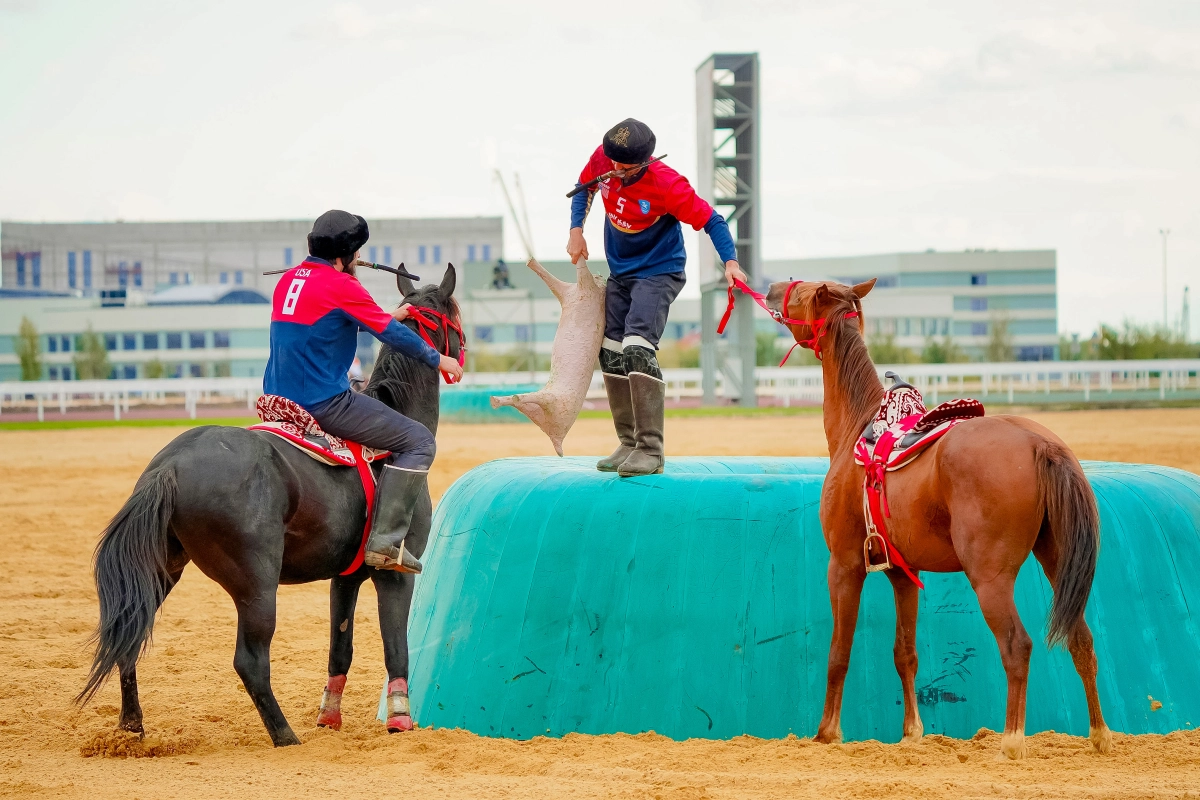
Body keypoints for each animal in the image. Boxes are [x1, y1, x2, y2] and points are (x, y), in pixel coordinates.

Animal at [76, 266, 458, 748]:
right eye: (455, 315)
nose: (458, 361)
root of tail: (171, 466)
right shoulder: (393, 575)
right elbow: (396, 648)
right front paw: (400, 719)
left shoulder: (345, 577)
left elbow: (341, 648)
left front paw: (329, 718)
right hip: (256, 586)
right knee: (250, 660)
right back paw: (284, 735)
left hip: (162, 570)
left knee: (131, 633)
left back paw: (131, 728)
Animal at [768, 278, 1113, 762]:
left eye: (800, 289)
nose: (770, 287)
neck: (859, 428)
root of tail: (1039, 444)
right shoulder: (902, 575)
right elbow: (905, 653)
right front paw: (912, 733)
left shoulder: (845, 567)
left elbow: (839, 653)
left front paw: (828, 732)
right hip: (1056, 560)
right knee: (1082, 641)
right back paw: (1099, 734)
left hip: (989, 577)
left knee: (1016, 646)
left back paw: (1012, 741)